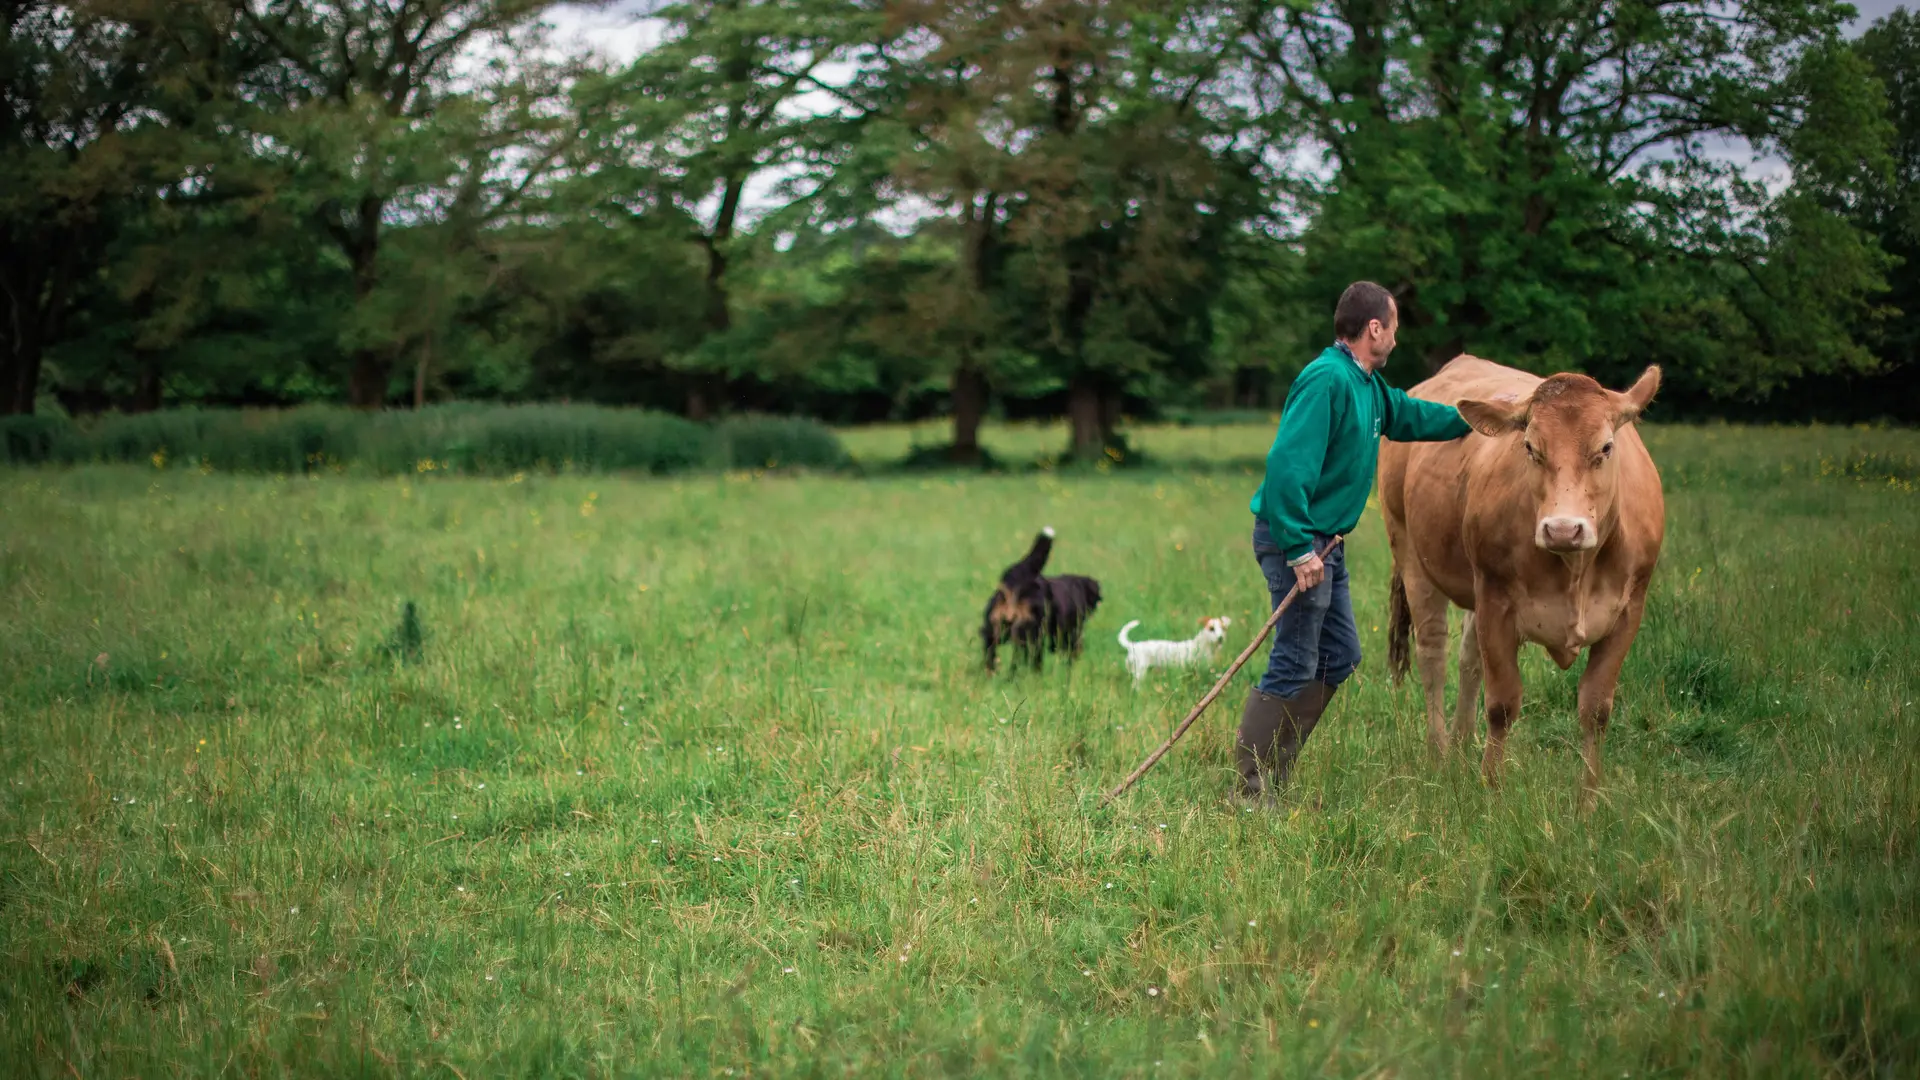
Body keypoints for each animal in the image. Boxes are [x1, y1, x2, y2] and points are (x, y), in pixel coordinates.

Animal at [1382, 357, 1666, 803]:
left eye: (1606, 447)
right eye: (1531, 447)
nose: (1563, 529)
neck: (1575, 570)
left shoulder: (1629, 610)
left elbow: (1596, 709)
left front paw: (1589, 801)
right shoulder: (1496, 600)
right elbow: (1501, 704)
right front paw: (1492, 792)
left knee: (1468, 658)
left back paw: (1461, 746)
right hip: (1412, 554)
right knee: (1433, 654)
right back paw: (1440, 752)